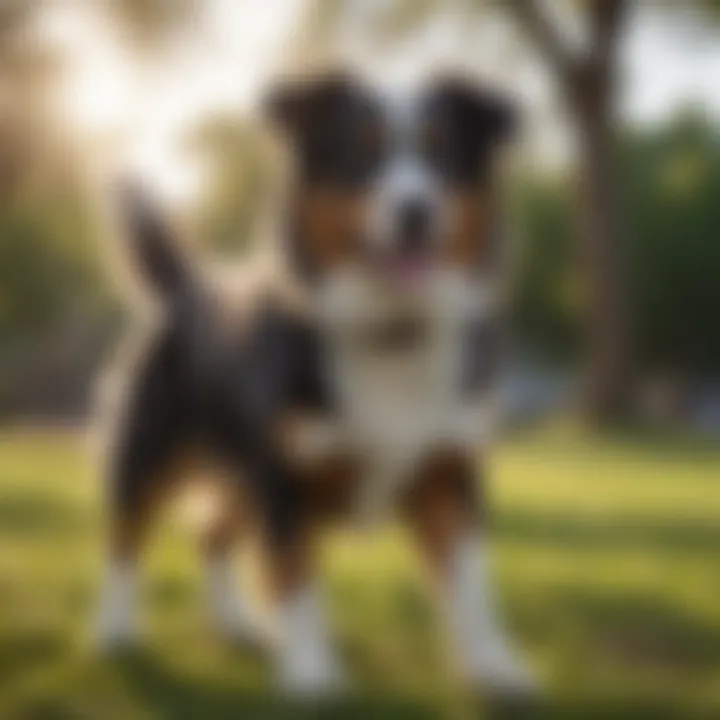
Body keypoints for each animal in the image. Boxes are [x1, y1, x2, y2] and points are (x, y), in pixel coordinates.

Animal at [94, 67, 536, 696]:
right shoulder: (286, 478)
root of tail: (189, 288)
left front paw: (497, 668)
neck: (392, 329)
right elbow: (297, 576)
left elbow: (475, 588)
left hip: (241, 472)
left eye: (443, 154)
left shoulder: (451, 473)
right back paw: (115, 631)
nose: (417, 211)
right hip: (151, 455)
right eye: (360, 155)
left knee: (212, 536)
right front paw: (311, 674)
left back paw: (239, 627)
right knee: (126, 539)